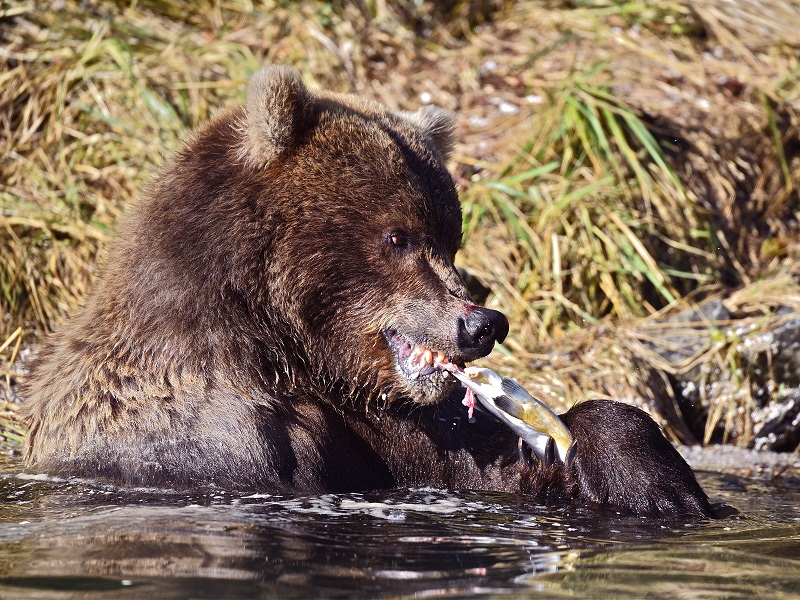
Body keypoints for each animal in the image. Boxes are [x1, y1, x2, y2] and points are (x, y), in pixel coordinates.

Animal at [21, 64, 716, 516]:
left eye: (449, 237)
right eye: (397, 236)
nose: (481, 323)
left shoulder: (410, 429)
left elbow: (506, 468)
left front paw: (647, 477)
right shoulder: (200, 439)